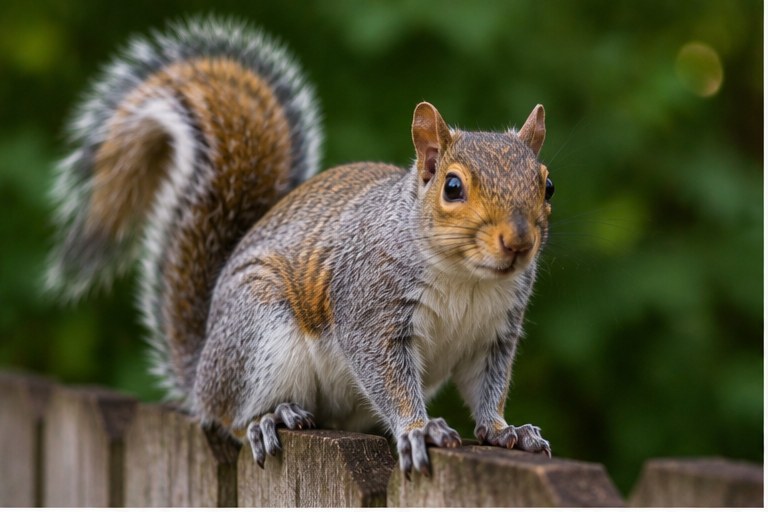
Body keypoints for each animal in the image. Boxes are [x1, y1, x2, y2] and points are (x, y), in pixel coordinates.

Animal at [47, 17, 554, 476]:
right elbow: (385, 374)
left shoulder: (494, 334)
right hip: (256, 334)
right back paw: (268, 419)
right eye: (452, 187)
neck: (465, 278)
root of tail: (202, 371)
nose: (519, 242)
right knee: (227, 416)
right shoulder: (369, 306)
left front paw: (504, 430)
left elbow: (487, 388)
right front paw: (418, 428)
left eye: (547, 185)